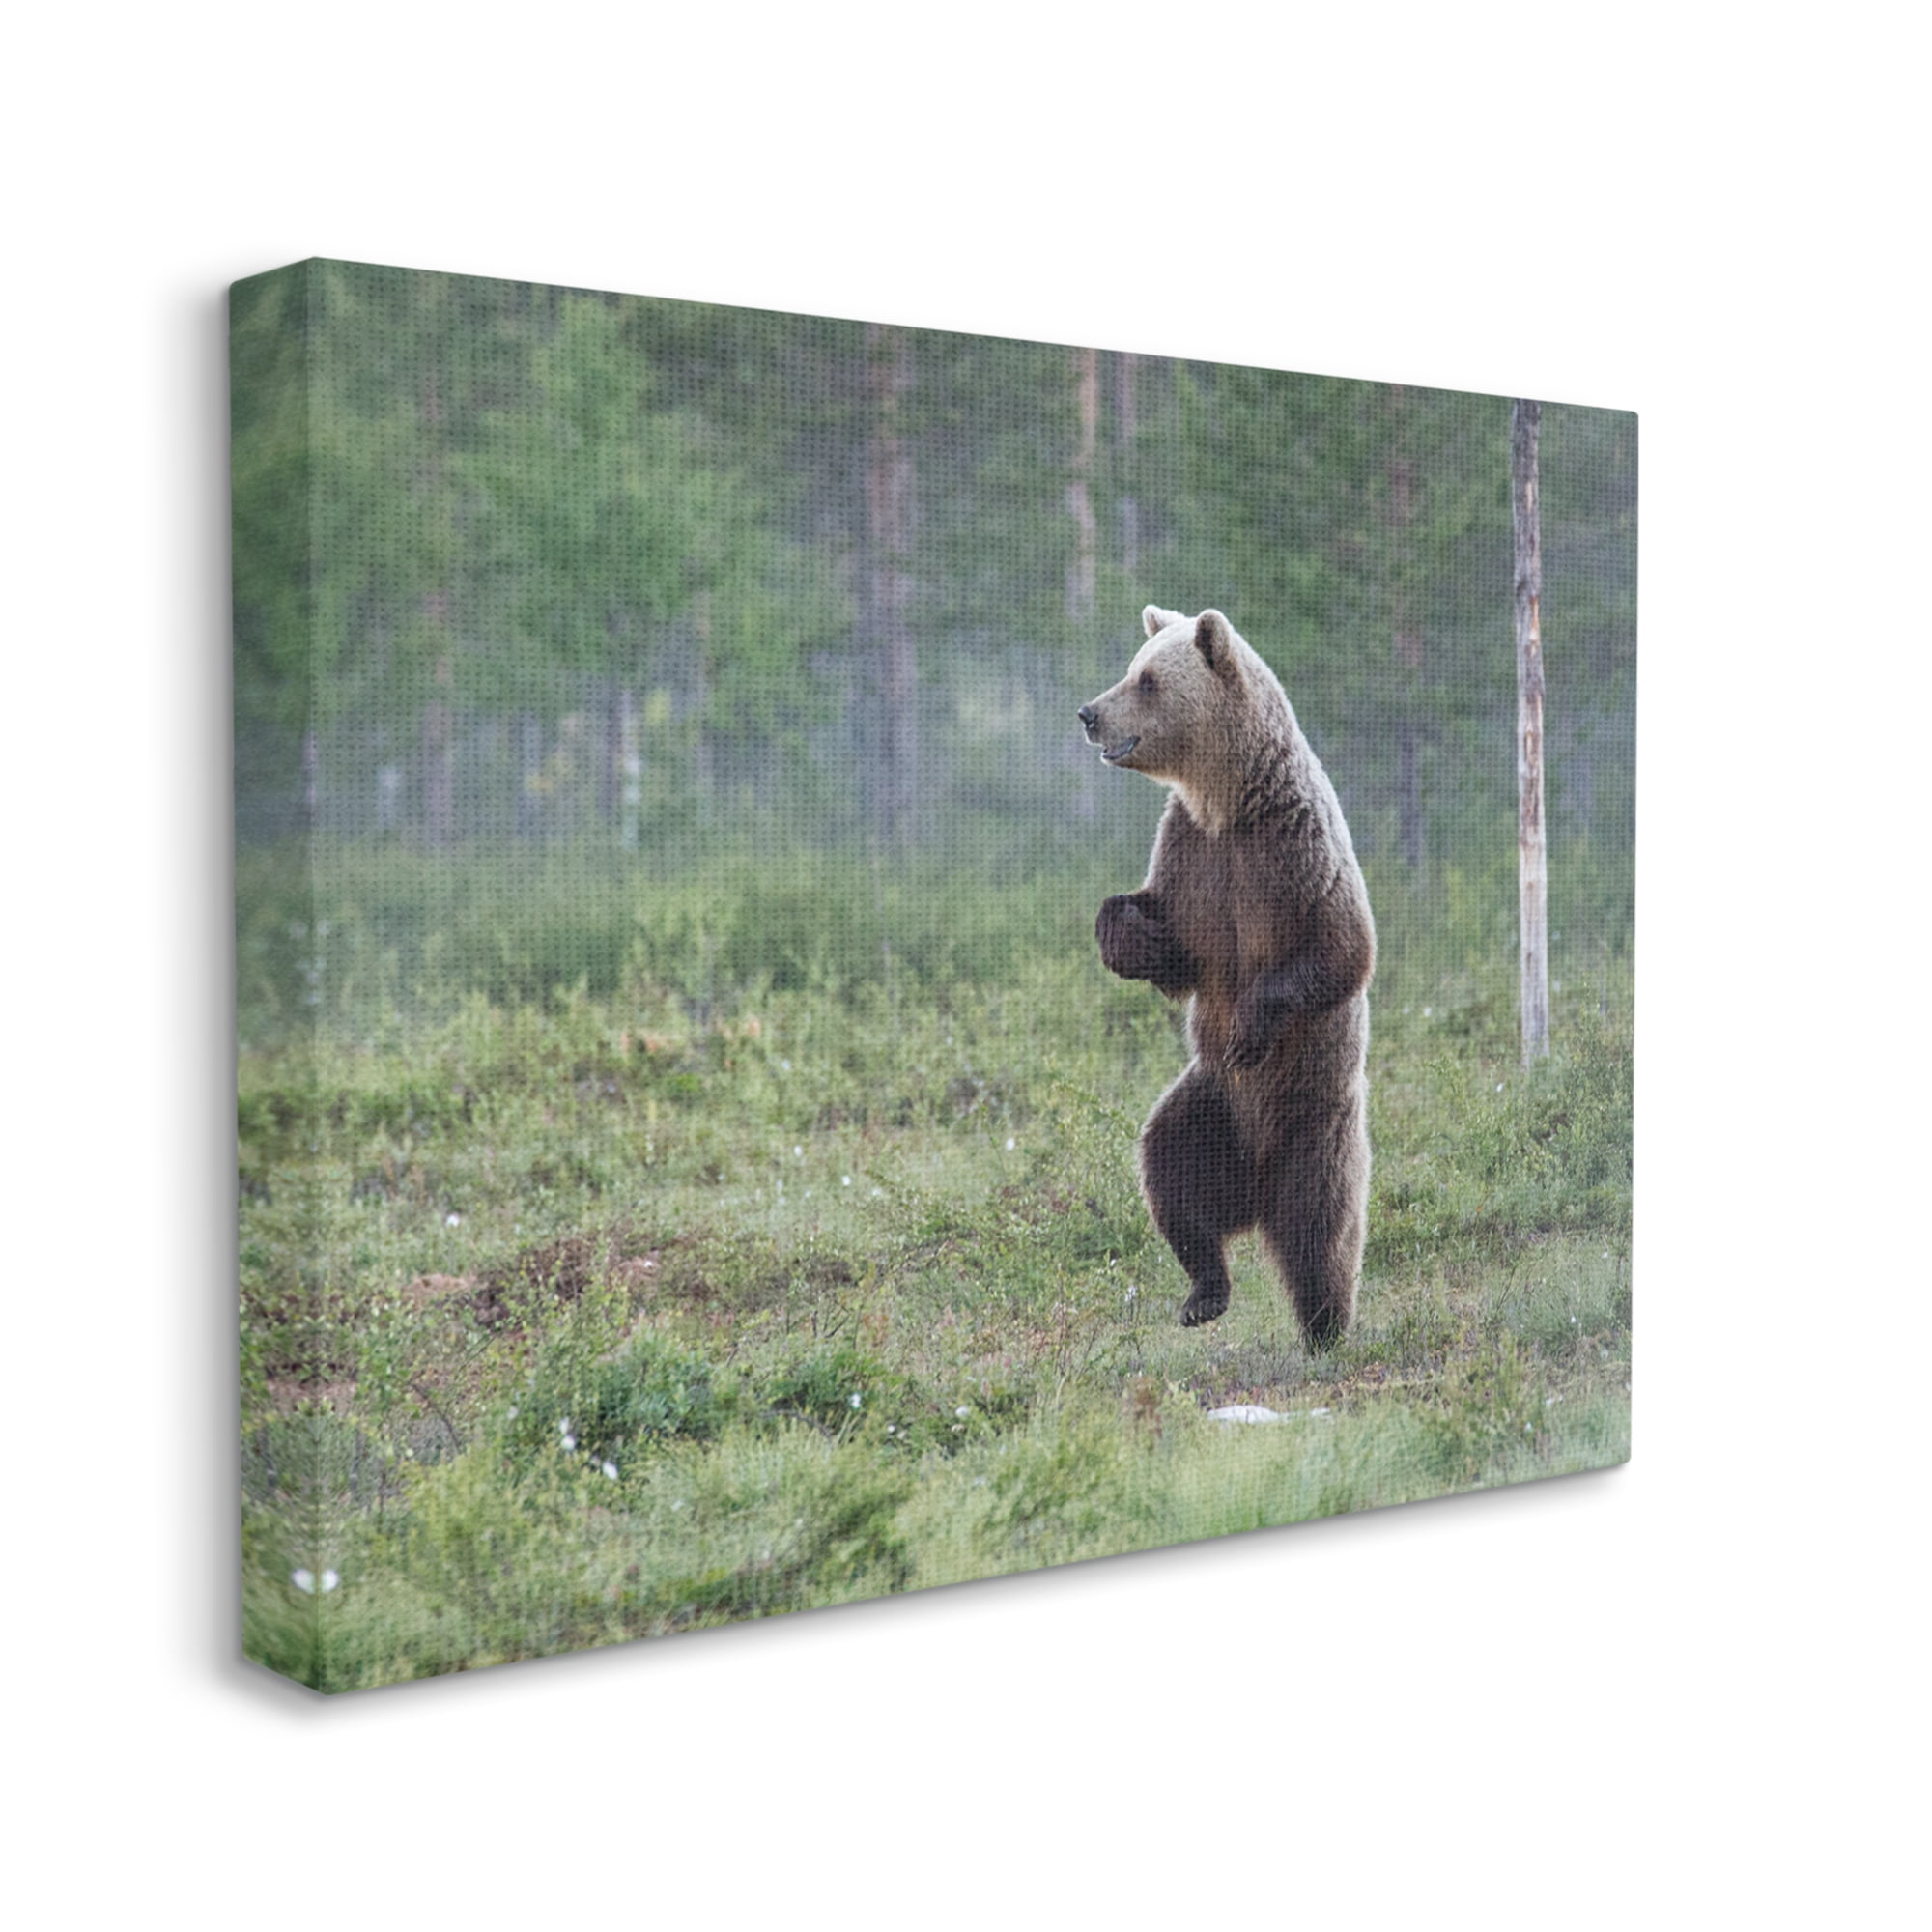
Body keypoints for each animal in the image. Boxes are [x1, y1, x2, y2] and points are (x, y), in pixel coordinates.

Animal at [1079, 605, 1374, 1346]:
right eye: (1134, 667)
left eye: (1147, 681)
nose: (1089, 714)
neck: (1229, 799)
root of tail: (1255, 1194)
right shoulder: (1193, 855)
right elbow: (1175, 948)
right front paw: (1132, 933)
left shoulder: (1292, 850)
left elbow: (1342, 950)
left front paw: (1248, 1025)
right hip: (1210, 1107)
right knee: (1168, 1171)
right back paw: (1204, 1292)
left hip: (1315, 1121)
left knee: (1322, 1231)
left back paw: (1326, 1327)